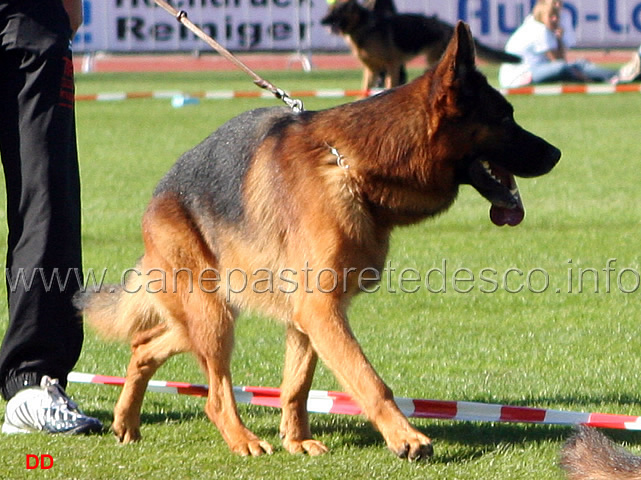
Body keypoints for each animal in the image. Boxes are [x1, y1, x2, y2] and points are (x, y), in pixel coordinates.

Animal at [77, 24, 560, 460]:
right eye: (505, 118)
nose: (557, 154)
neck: (355, 168)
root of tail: (158, 196)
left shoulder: (312, 313)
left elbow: (297, 384)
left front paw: (296, 441)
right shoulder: (319, 309)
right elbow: (368, 380)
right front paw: (404, 438)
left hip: (203, 314)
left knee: (145, 345)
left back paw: (126, 420)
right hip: (212, 315)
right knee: (214, 393)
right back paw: (242, 440)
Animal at [322, 0, 524, 90]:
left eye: (340, 9)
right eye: (330, 9)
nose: (322, 21)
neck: (364, 27)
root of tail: (449, 26)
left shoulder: (392, 65)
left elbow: (389, 85)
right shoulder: (371, 70)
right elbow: (364, 90)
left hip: (433, 60)